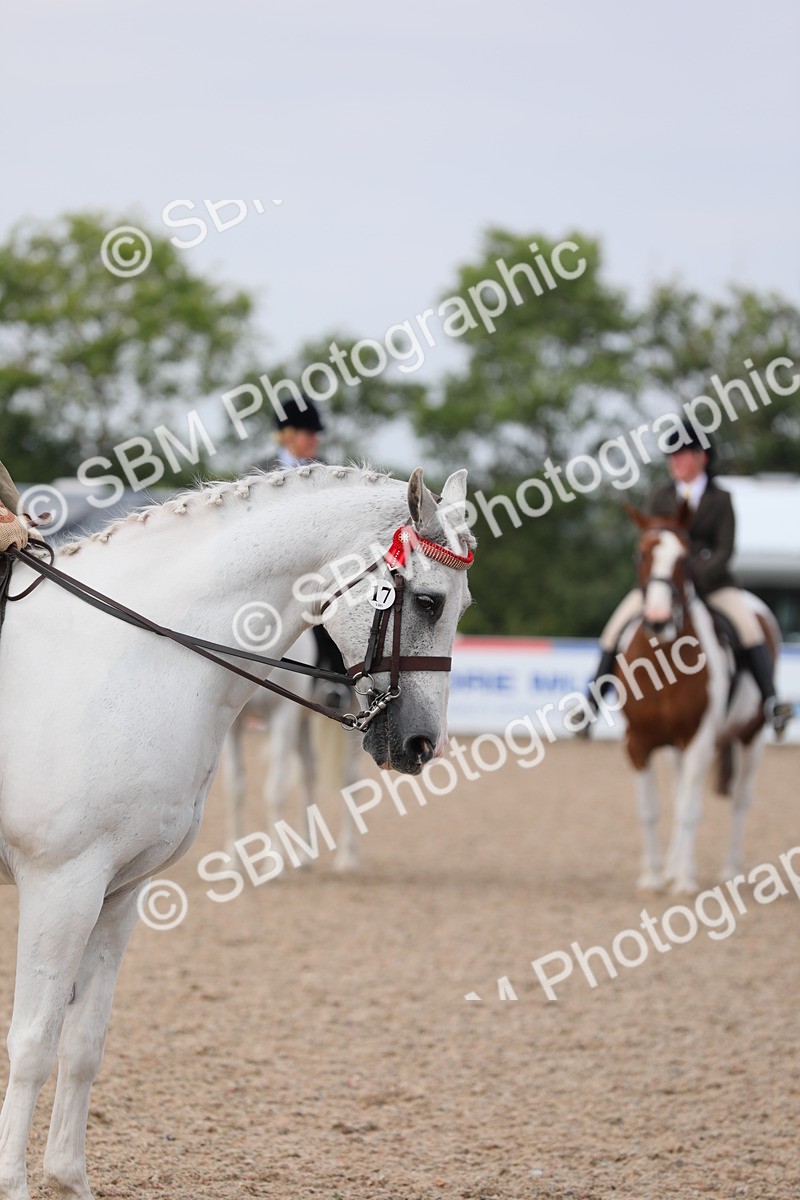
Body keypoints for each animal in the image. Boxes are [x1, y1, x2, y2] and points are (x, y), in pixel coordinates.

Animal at [223, 627, 367, 872]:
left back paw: (347, 858)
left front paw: (273, 860)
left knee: (351, 778)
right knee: (309, 772)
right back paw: (305, 856)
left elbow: (276, 788)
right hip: (302, 721)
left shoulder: (283, 715)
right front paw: (235, 861)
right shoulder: (234, 724)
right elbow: (235, 790)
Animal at [583, 504, 775, 895]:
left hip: (751, 737)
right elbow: (651, 809)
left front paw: (685, 881)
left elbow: (691, 809)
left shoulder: (698, 741)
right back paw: (673, 867)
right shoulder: (638, 743)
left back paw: (729, 869)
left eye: (685, 559)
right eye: (640, 554)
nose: (657, 620)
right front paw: (654, 877)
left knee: (740, 800)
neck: (663, 661)